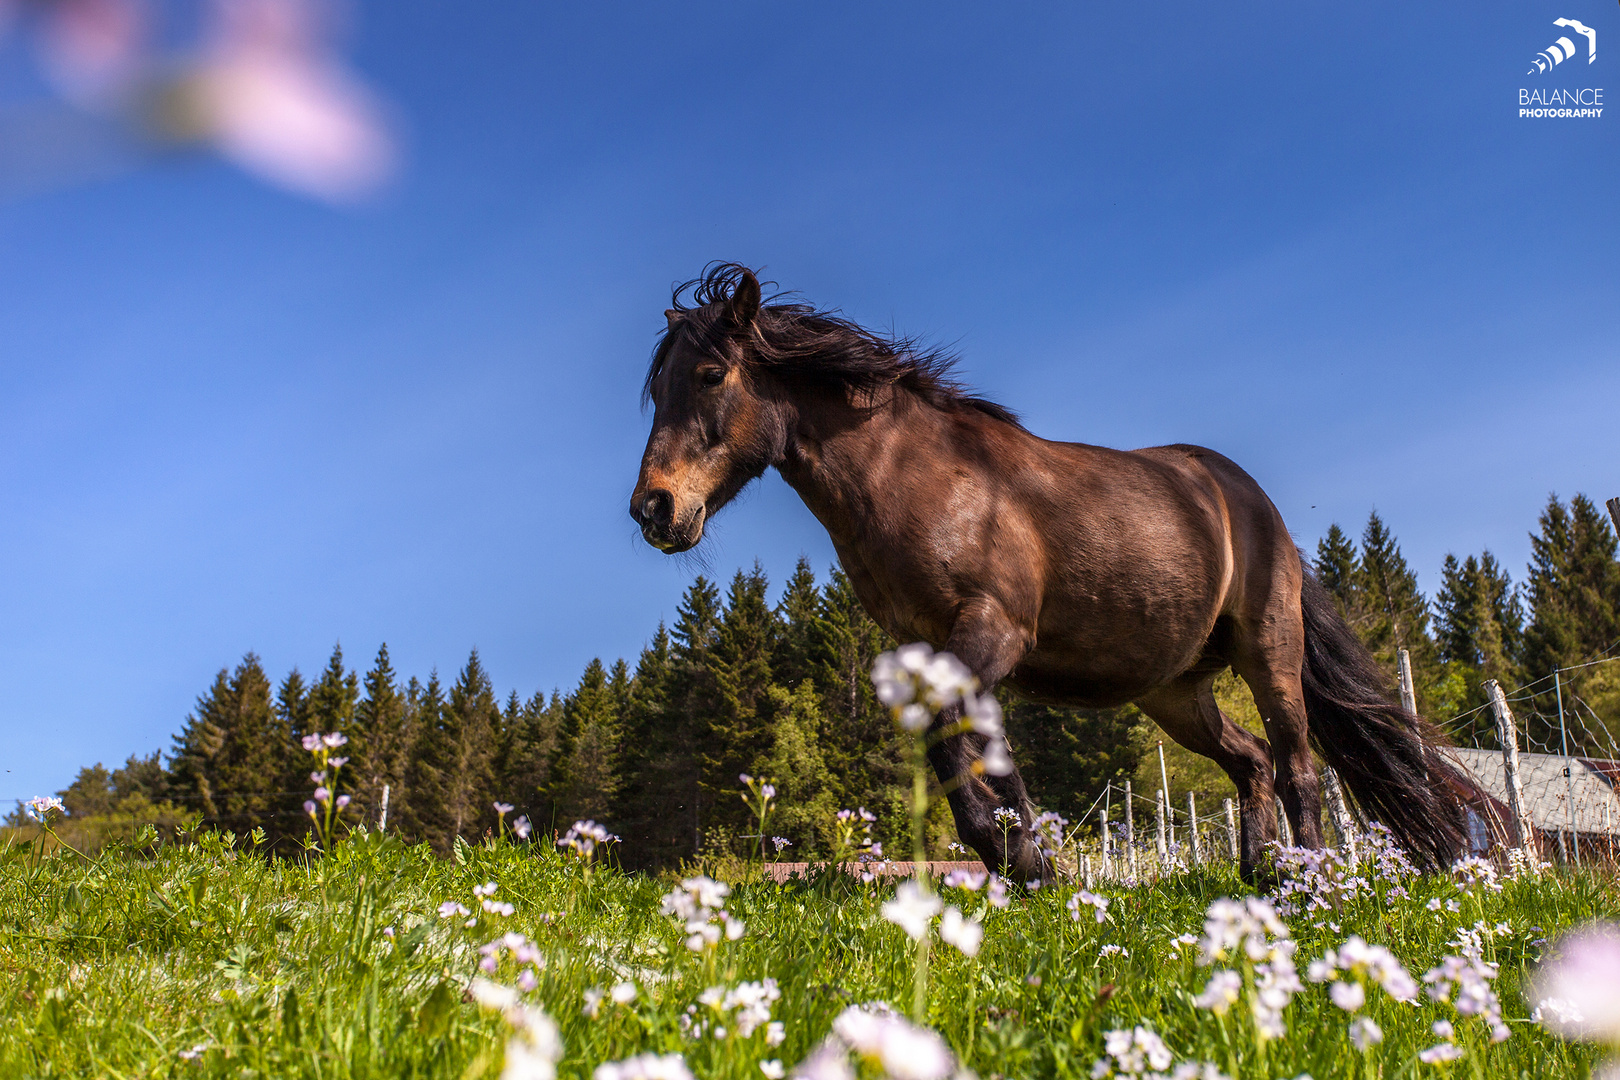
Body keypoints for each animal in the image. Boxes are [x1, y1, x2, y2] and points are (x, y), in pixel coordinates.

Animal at [628, 265, 1470, 880]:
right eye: (657, 387)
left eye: (710, 375)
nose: (653, 509)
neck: (911, 476)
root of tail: (1259, 508)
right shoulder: (933, 645)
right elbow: (984, 756)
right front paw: (1032, 856)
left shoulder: (991, 629)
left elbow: (949, 742)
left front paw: (1018, 855)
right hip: (1176, 692)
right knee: (1253, 762)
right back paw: (1260, 877)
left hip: (1270, 653)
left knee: (1297, 764)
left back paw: (1311, 881)